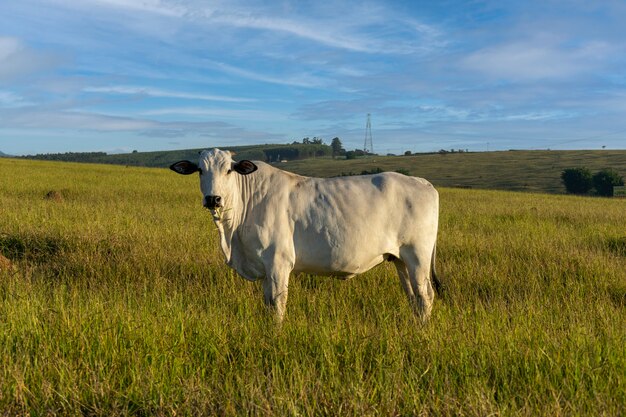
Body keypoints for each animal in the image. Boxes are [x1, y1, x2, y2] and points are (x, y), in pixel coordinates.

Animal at [172, 149, 438, 322]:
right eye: (199, 170)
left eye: (229, 170)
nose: (213, 199)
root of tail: (423, 182)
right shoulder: (266, 269)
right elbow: (268, 304)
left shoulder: (279, 263)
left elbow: (278, 305)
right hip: (400, 260)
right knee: (413, 297)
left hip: (418, 256)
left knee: (425, 296)